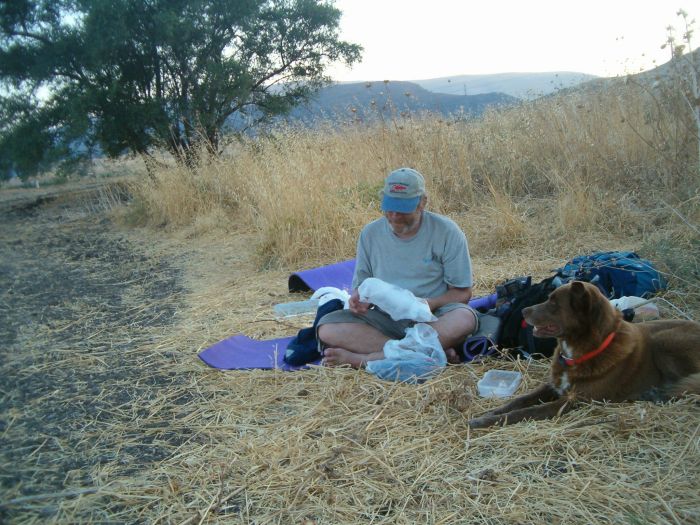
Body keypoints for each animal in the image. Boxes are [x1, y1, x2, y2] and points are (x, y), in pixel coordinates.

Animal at [468, 280, 700, 428]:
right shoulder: (553, 385)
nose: (524, 311)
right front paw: (489, 413)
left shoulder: (571, 401)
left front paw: (486, 421)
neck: (577, 352)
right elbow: (519, 401)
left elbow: (525, 412)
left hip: (665, 341)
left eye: (554, 303)